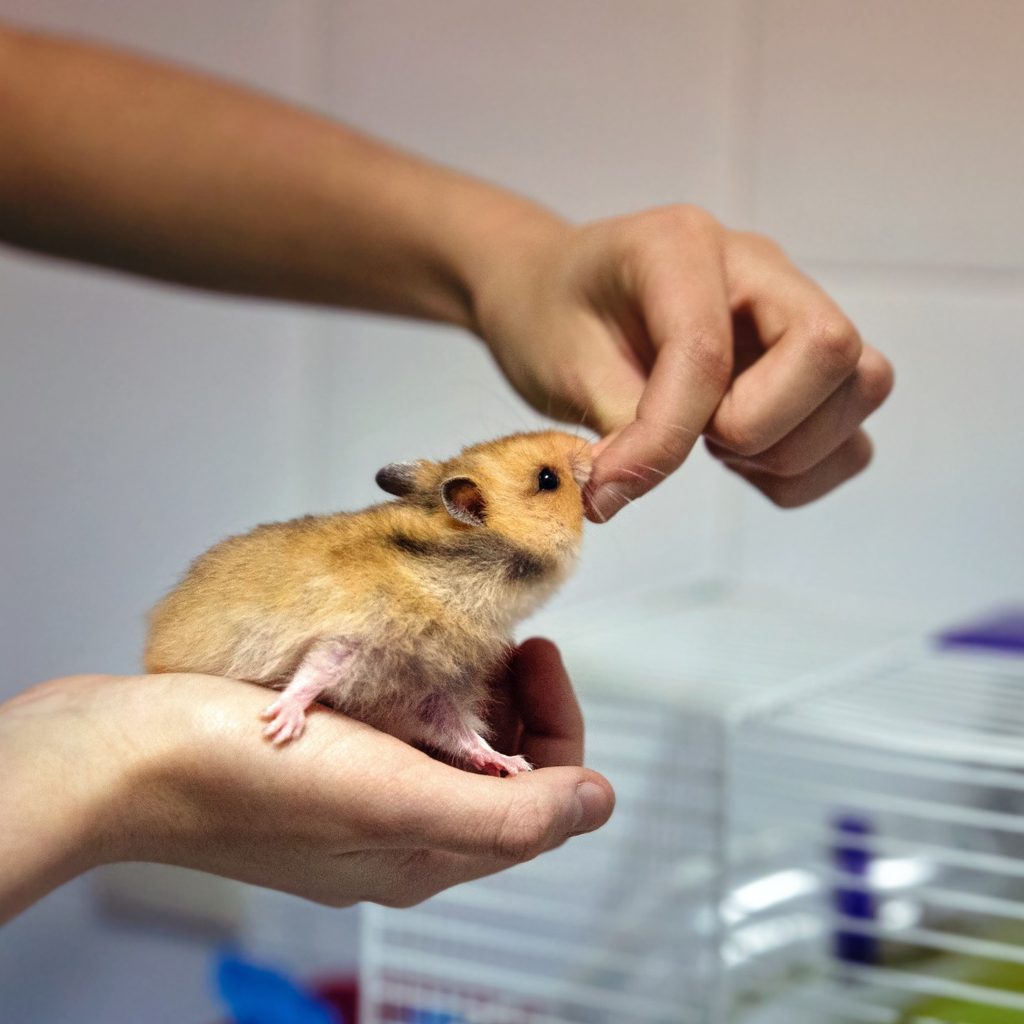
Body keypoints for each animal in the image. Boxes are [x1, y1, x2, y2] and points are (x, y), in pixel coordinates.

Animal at [144, 430, 592, 776]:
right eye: (548, 479)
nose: (590, 446)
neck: (455, 575)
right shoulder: (354, 635)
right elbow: (315, 670)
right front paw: (280, 724)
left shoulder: (433, 689)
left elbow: (460, 731)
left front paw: (513, 764)